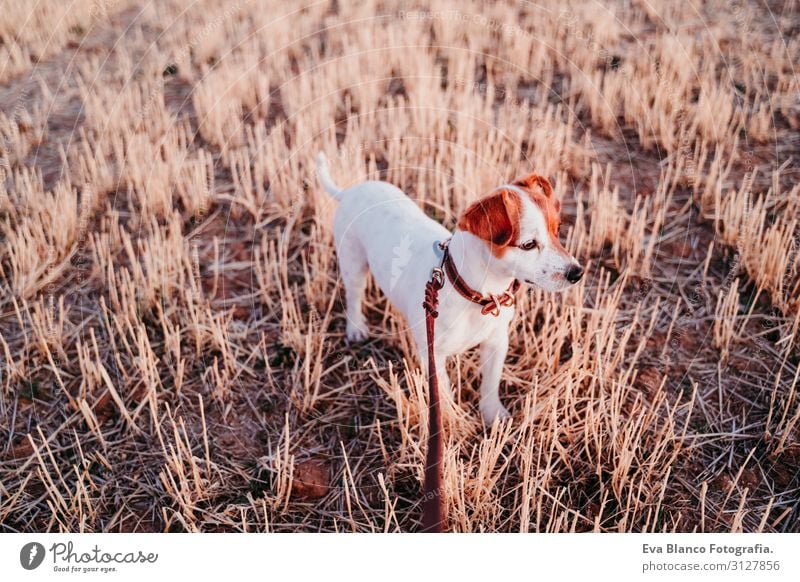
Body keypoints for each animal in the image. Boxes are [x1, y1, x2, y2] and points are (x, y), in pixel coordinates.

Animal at [316, 153, 584, 426]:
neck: (475, 294)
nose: (577, 272)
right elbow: (443, 392)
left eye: (557, 230)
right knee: (354, 296)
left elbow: (490, 384)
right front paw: (451, 420)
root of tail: (349, 192)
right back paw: (356, 328)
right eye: (528, 244)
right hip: (353, 263)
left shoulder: (496, 342)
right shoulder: (433, 355)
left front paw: (494, 415)